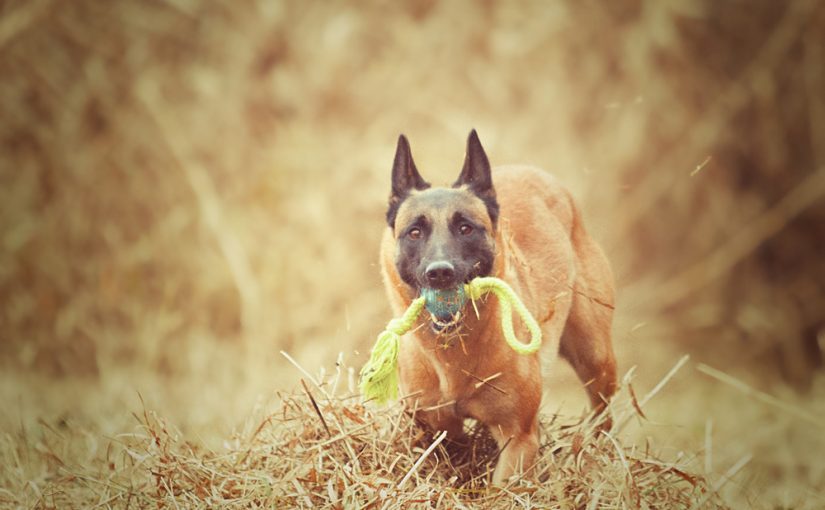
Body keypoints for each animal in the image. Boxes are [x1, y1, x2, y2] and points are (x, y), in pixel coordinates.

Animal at [376, 129, 616, 484]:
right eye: (415, 232)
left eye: (466, 228)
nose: (440, 272)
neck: (455, 354)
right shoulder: (432, 425)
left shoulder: (519, 439)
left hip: (595, 357)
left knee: (604, 413)